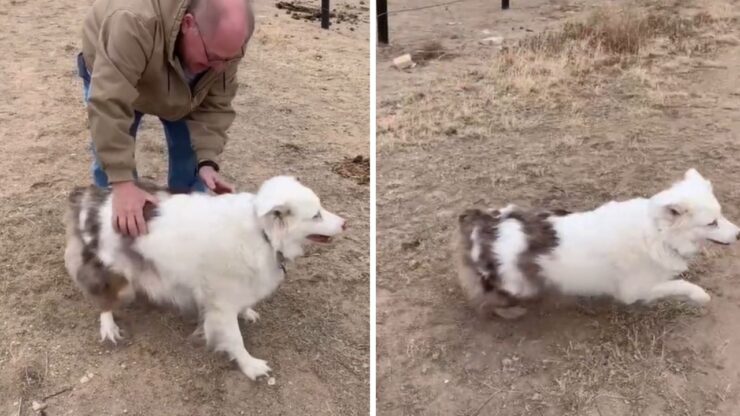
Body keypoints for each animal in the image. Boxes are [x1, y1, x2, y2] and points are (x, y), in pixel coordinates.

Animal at [62, 176, 346, 380]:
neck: (262, 233)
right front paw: (250, 366)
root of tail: (89, 197)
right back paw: (108, 325)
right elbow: (235, 340)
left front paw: (247, 312)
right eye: (316, 215)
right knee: (104, 299)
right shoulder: (221, 304)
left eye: (321, 208)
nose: (345, 223)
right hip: (111, 273)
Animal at [456, 168, 740, 318]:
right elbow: (679, 285)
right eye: (711, 223)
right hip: (516, 284)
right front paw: (700, 296)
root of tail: (479, 222)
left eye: (721, 215)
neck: (656, 232)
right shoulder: (634, 290)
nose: (738, 234)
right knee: (488, 301)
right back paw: (512, 311)